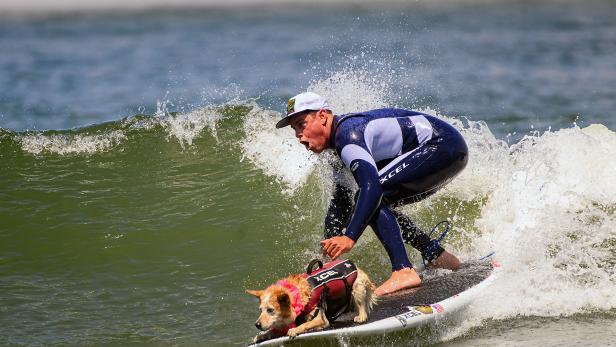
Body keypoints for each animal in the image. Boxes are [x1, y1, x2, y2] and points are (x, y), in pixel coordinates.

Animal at [245, 260, 376, 344]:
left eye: (270, 310)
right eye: (260, 310)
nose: (257, 324)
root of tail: (357, 267)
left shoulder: (320, 318)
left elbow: (305, 324)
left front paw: (294, 330)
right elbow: (272, 330)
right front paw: (261, 336)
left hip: (357, 287)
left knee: (361, 305)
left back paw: (361, 316)